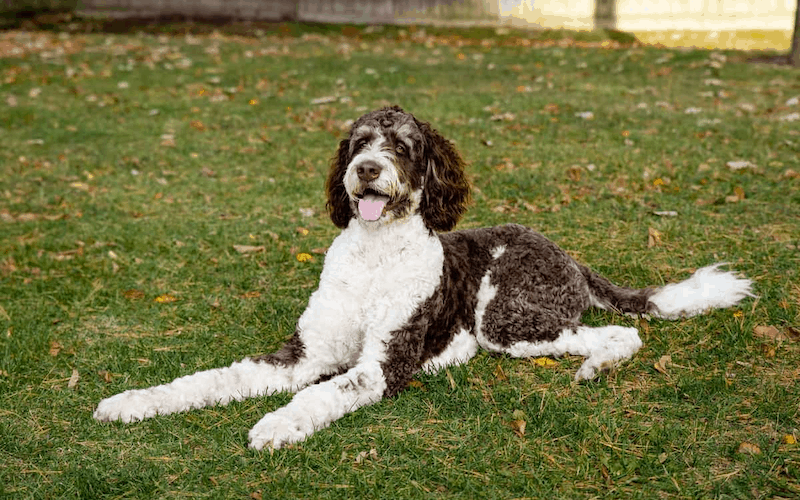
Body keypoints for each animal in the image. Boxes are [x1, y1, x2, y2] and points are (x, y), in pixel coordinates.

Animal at [95, 105, 756, 450]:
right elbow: (211, 379)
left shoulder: (381, 365)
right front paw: (136, 401)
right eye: (360, 142)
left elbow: (322, 394)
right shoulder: (303, 354)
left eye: (405, 147)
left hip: (507, 320)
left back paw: (594, 366)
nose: (365, 169)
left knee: (618, 334)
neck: (373, 258)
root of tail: (566, 253)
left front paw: (278, 423)